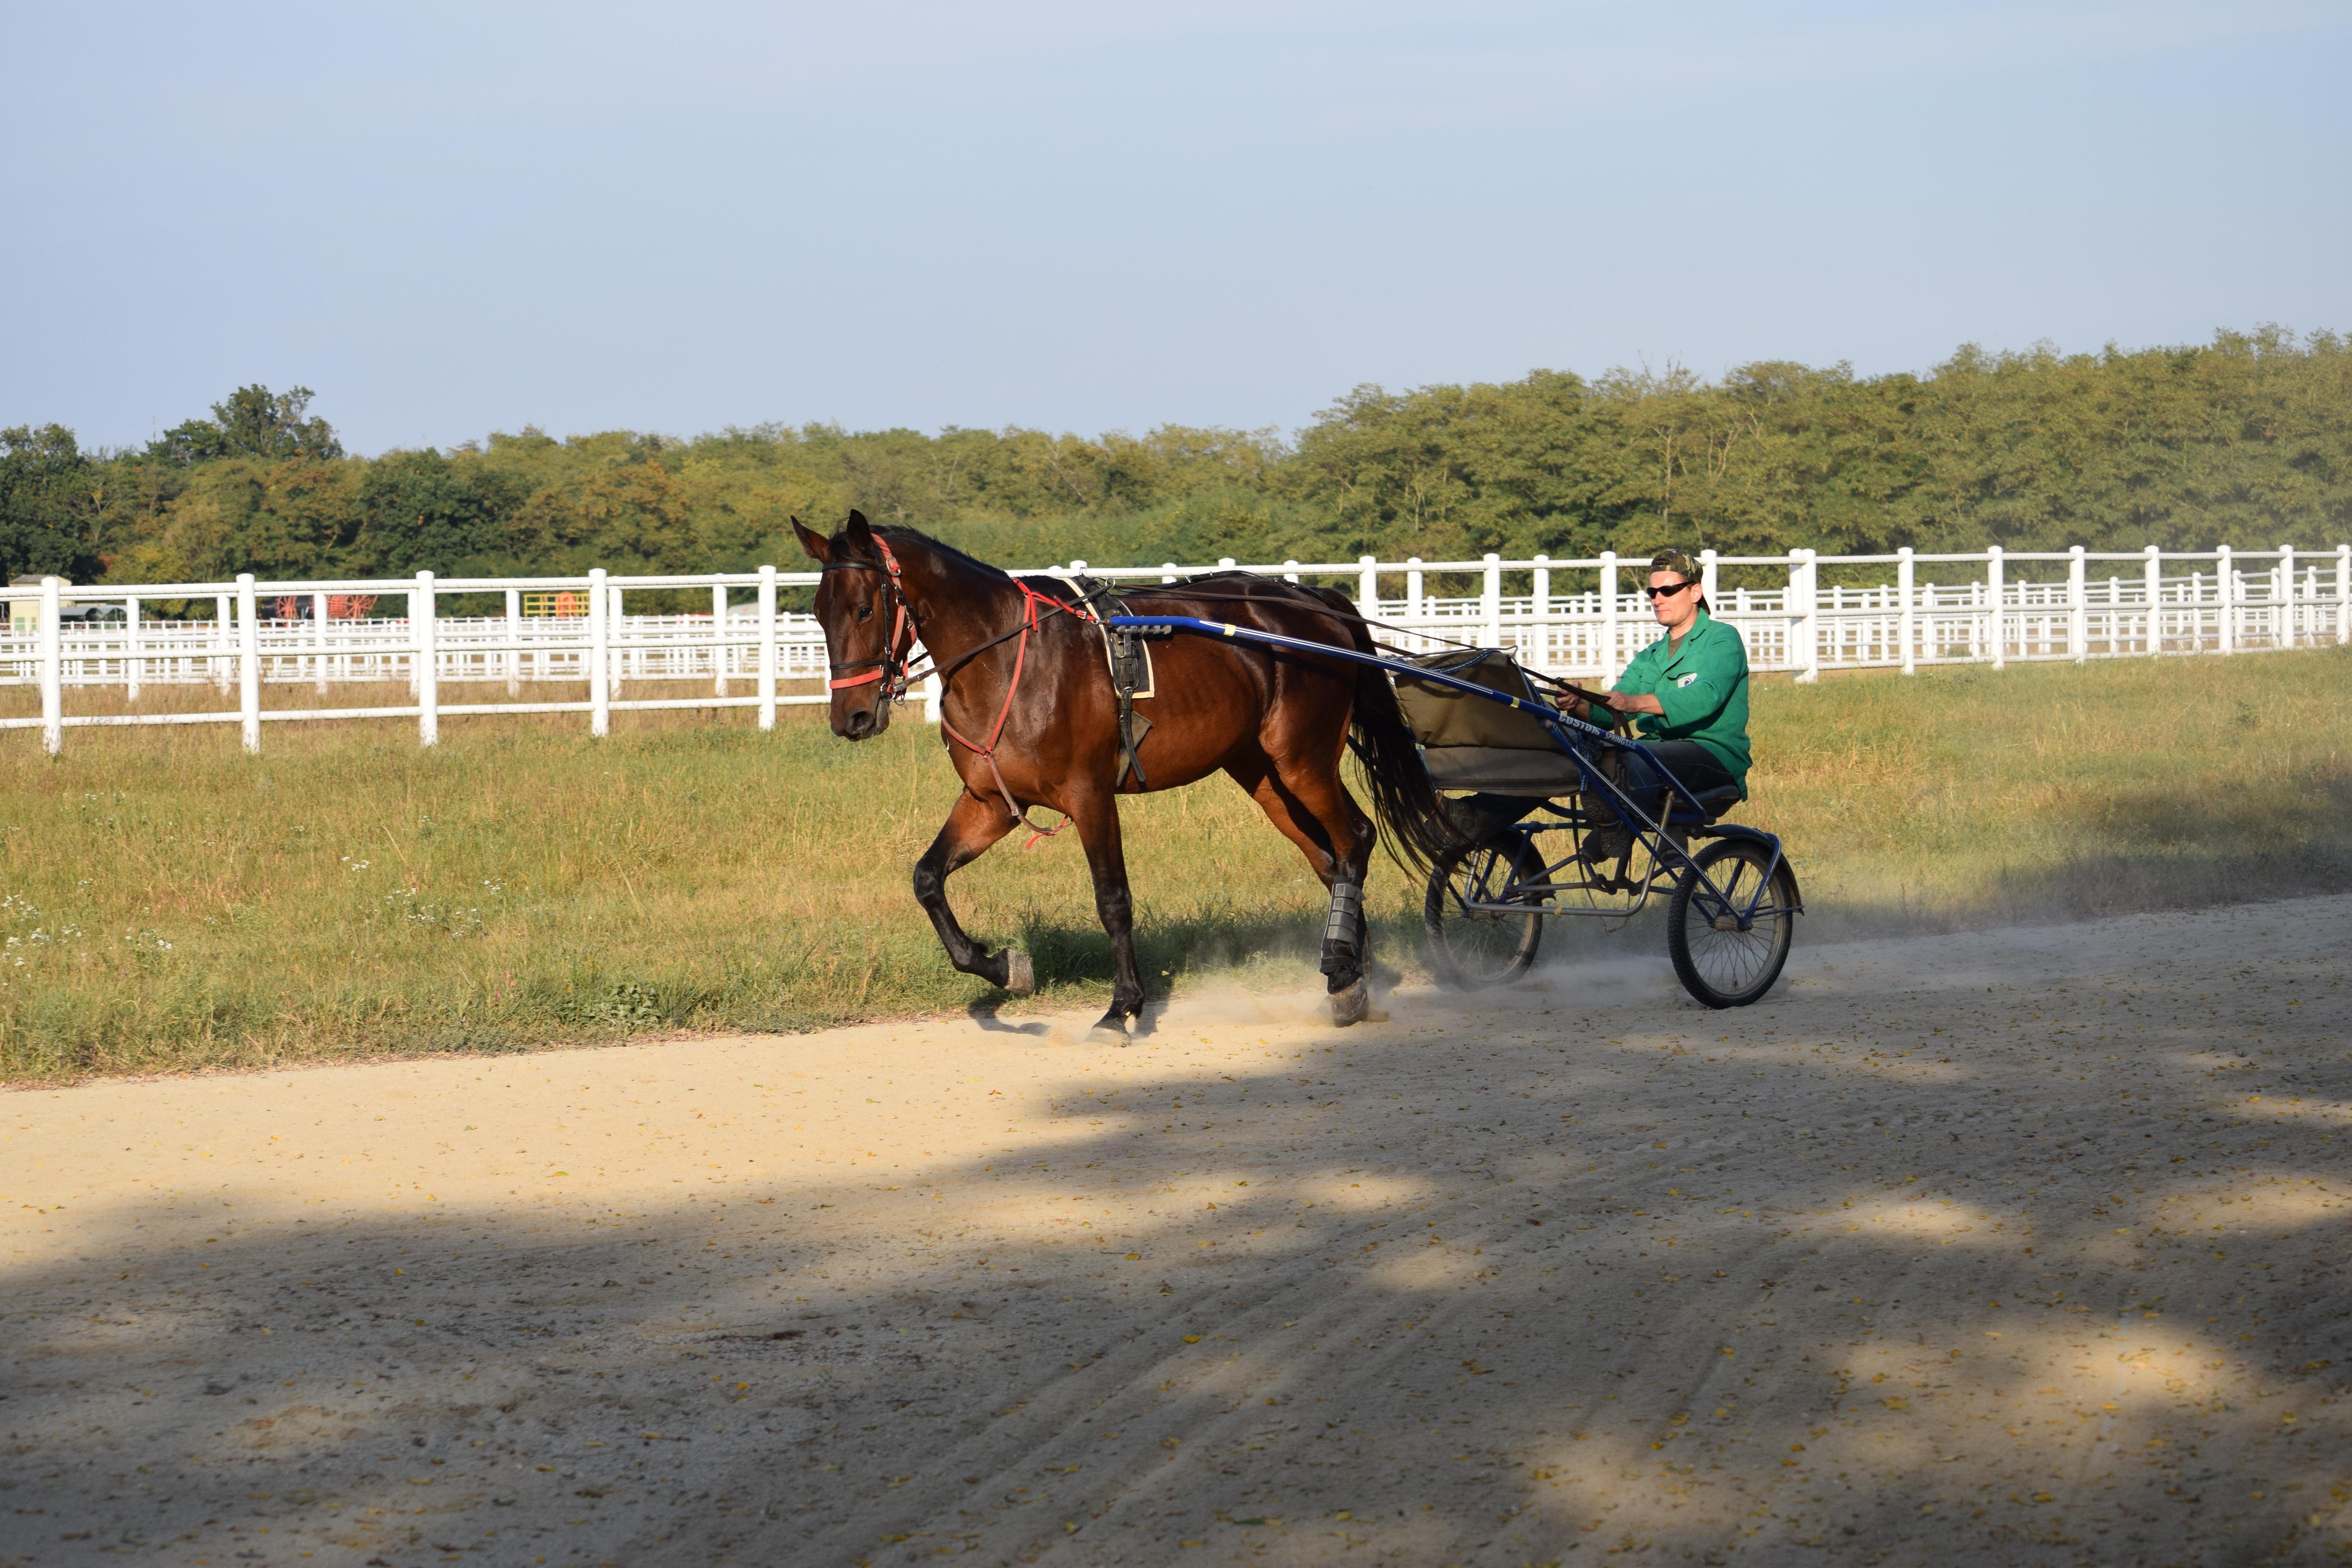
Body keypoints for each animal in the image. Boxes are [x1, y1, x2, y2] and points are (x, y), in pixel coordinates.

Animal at [795, 512, 1449, 1044]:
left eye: (865, 608)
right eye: (817, 613)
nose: (852, 718)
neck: (1009, 659)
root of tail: (1309, 599)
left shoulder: (1089, 796)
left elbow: (1113, 900)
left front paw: (1121, 1009)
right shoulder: (989, 801)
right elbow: (928, 879)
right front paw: (1005, 967)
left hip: (1302, 760)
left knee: (1354, 839)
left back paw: (1344, 971)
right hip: (1263, 776)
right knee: (1330, 859)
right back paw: (1352, 974)